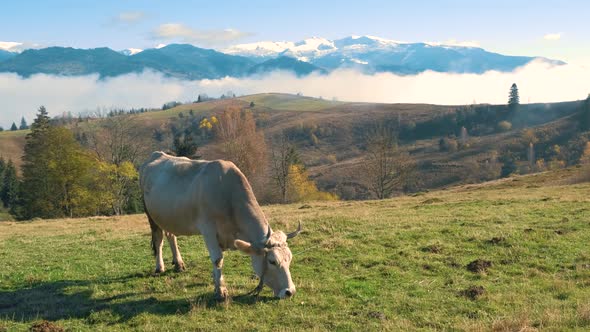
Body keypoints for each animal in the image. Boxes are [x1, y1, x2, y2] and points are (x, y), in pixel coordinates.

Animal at [141, 152, 302, 300]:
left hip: (168, 217)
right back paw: (159, 267)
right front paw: (221, 291)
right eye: (272, 261)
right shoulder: (208, 229)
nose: (290, 292)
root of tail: (158, 154)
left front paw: (216, 282)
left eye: (290, 258)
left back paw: (178, 264)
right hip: (151, 216)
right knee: (158, 240)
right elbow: (217, 259)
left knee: (171, 236)